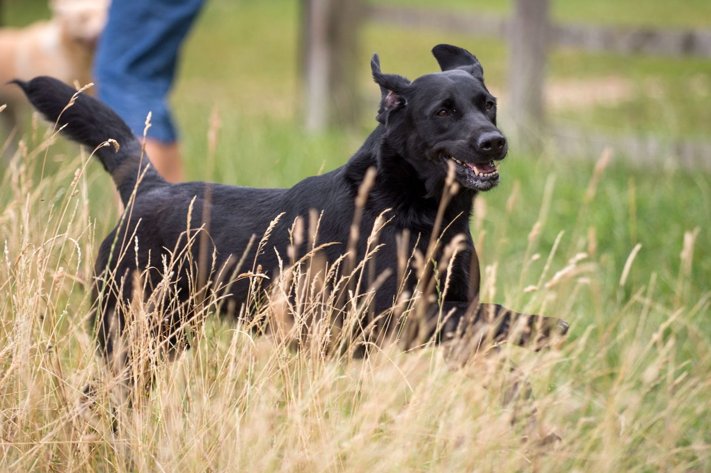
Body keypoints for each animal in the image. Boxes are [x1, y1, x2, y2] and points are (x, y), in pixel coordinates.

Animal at [13, 44, 572, 374]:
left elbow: (479, 323)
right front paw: (542, 327)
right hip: (132, 334)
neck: (412, 211)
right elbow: (482, 313)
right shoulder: (382, 314)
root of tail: (147, 187)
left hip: (167, 335)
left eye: (488, 103)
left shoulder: (445, 316)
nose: (494, 142)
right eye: (443, 111)